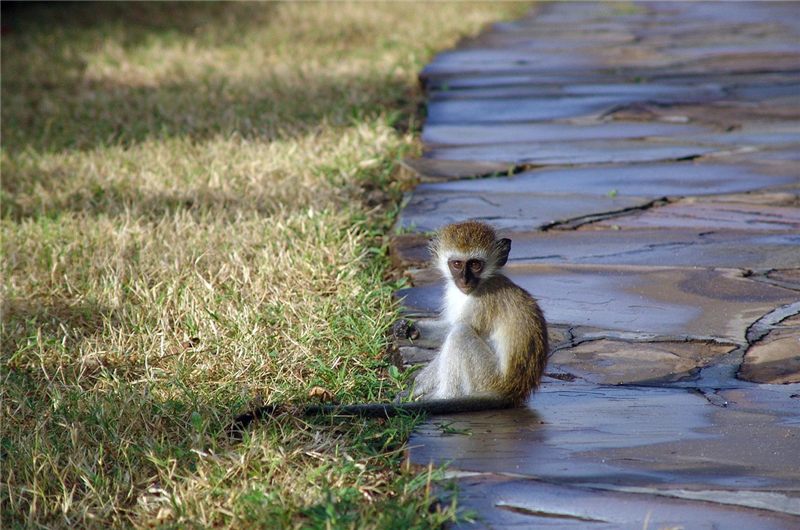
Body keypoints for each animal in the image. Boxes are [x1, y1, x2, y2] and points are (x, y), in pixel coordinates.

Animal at [228, 221, 548, 437]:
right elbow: (443, 329)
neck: (477, 287)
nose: (465, 280)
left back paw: (443, 400)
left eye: (476, 265)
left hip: (487, 379)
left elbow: (457, 330)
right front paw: (408, 332)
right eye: (457, 264)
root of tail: (513, 390)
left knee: (460, 336)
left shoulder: (483, 302)